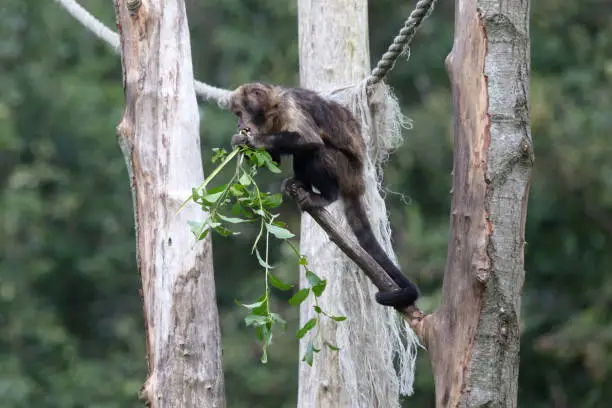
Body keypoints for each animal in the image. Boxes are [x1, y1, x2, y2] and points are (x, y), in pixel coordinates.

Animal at [230, 81, 420, 308]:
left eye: (240, 112)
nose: (239, 122)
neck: (272, 110)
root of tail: (357, 183)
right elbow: (274, 160)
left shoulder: (289, 105)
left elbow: (309, 140)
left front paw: (253, 141)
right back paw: (298, 184)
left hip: (345, 171)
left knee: (317, 151)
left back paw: (327, 195)